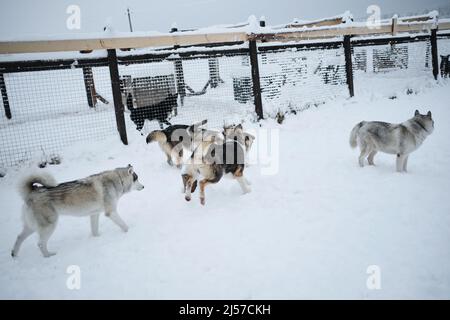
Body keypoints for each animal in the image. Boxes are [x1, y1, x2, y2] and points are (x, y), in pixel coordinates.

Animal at [11, 165, 144, 258]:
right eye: (137, 178)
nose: (143, 187)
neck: (117, 181)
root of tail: (32, 192)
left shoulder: (94, 214)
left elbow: (94, 231)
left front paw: (97, 238)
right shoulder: (110, 212)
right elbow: (124, 225)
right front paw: (130, 231)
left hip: (31, 227)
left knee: (18, 237)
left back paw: (14, 255)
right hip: (49, 226)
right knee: (40, 243)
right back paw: (48, 256)